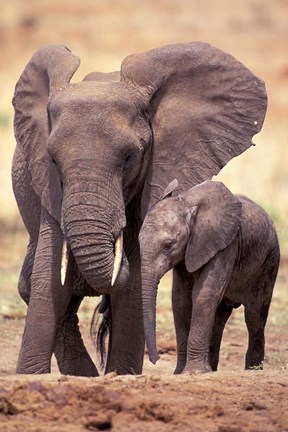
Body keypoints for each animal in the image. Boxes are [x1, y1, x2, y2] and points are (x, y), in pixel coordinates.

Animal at [140, 180, 280, 374]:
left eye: (168, 245)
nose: (155, 359)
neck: (188, 203)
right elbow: (180, 300)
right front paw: (180, 373)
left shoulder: (226, 245)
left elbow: (203, 295)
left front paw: (193, 373)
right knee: (219, 319)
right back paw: (212, 369)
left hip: (269, 263)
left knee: (255, 316)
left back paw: (253, 370)